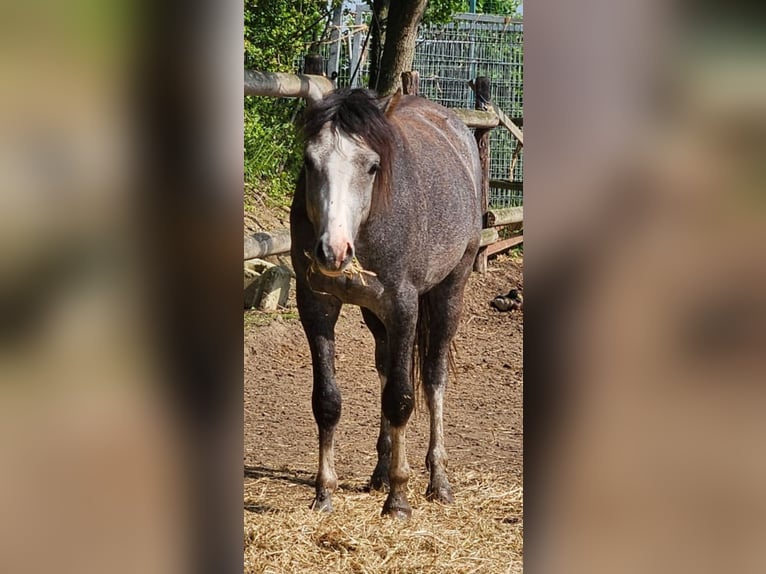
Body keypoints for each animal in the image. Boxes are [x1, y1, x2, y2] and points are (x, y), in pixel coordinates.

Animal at [292, 88, 484, 520]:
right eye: (310, 162)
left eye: (372, 166)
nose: (333, 251)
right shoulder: (315, 305)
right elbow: (327, 401)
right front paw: (324, 494)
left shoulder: (403, 307)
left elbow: (400, 398)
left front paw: (398, 499)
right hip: (374, 316)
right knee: (383, 368)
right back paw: (380, 472)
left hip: (450, 291)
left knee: (432, 378)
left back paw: (437, 480)